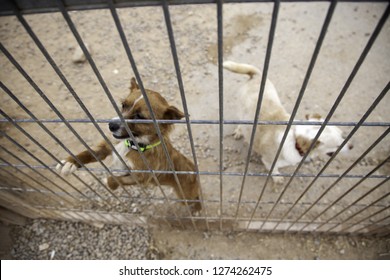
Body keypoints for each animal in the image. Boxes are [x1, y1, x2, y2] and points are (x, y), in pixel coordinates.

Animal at [56, 77, 201, 211]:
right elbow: (87, 153)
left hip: (185, 196)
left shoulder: (141, 177)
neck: (133, 144)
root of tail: (195, 173)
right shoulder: (106, 148)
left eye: (139, 116)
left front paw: (109, 183)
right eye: (123, 105)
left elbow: (115, 179)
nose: (111, 125)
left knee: (194, 200)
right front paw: (70, 162)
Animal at [222, 61, 354, 184]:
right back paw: (239, 131)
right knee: (241, 123)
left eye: (342, 135)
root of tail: (257, 75)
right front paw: (277, 178)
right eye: (337, 145)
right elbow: (274, 170)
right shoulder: (269, 161)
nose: (352, 146)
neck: (294, 139)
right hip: (241, 112)